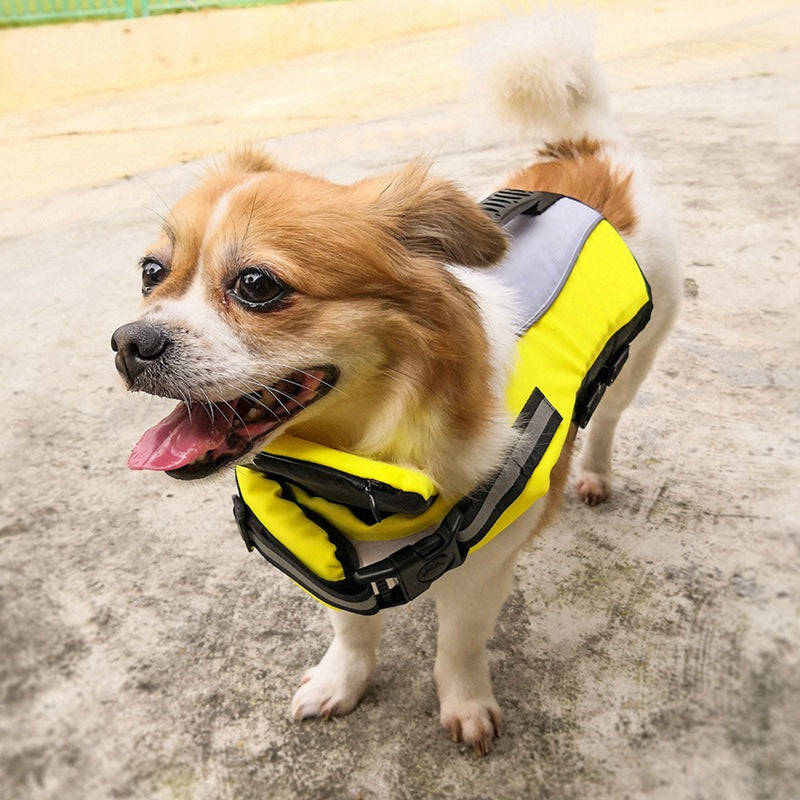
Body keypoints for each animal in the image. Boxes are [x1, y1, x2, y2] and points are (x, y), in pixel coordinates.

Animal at [111, 12, 676, 756]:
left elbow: (458, 646)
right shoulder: (327, 562)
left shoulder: (480, 574)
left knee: (606, 418)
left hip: (637, 358)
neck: (359, 464)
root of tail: (588, 148)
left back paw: (595, 474)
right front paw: (341, 682)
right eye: (151, 273)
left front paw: (465, 704)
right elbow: (352, 628)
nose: (129, 343)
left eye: (257, 285)